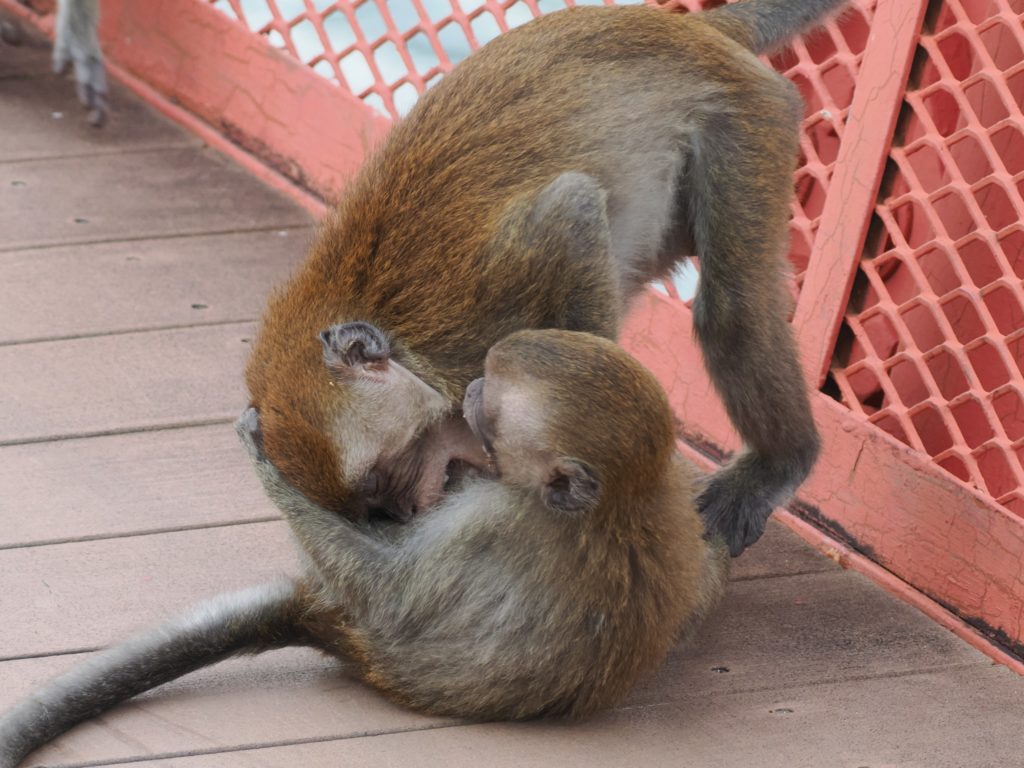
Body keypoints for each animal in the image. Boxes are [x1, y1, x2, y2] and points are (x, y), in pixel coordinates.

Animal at [0, 329, 728, 766]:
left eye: (492, 401)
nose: (471, 388)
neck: (621, 500)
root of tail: (334, 633)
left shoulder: (490, 523)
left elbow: (393, 594)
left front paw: (265, 462)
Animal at [246, 0, 847, 559]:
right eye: (372, 503)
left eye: (381, 477)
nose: (404, 509)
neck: (407, 345)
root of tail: (686, 28)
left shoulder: (485, 305)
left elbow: (571, 209)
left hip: (747, 112)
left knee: (733, 308)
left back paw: (777, 464)